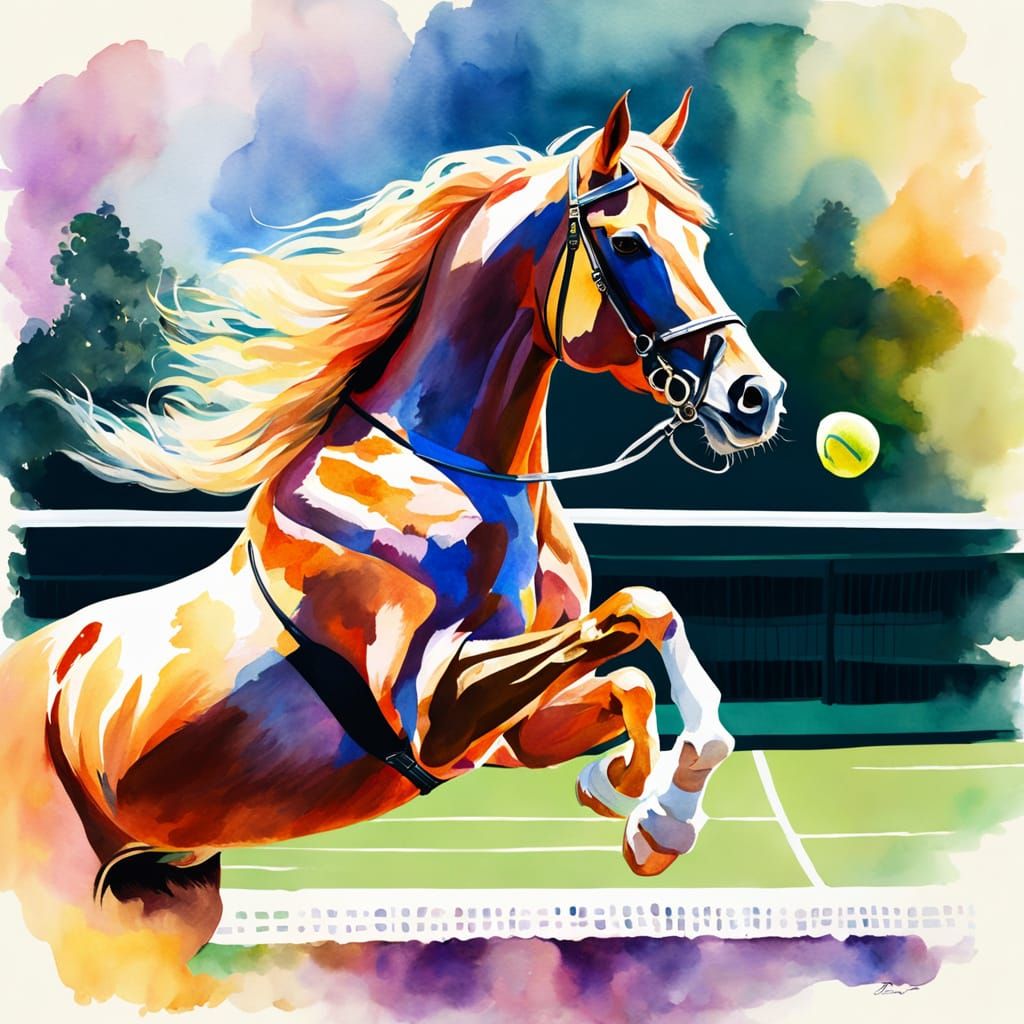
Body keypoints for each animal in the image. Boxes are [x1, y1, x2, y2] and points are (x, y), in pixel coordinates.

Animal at [0, 90, 786, 1005]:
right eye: (627, 242)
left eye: (700, 241)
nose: (755, 396)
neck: (450, 475)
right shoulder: (434, 717)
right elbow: (639, 610)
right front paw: (660, 817)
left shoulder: (510, 733)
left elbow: (633, 670)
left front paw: (637, 805)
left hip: (154, 905)